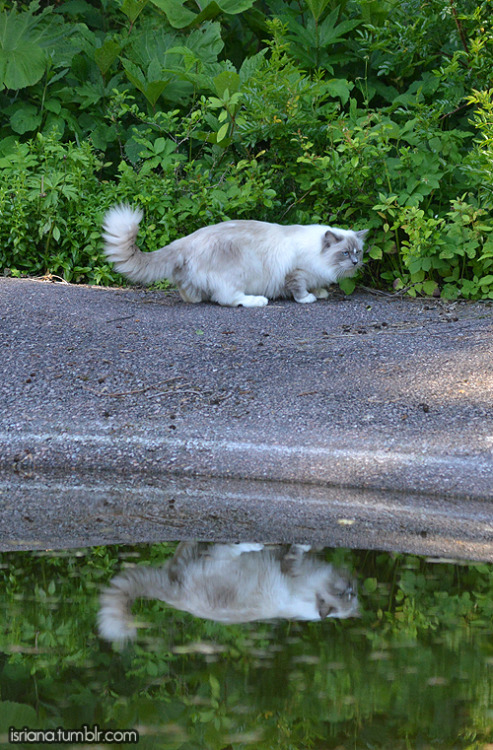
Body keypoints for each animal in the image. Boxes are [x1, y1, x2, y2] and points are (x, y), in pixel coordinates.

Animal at [97, 544, 358, 644]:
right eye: (345, 593)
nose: (354, 590)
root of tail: (173, 594)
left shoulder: (289, 565)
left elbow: (295, 552)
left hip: (218, 565)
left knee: (216, 551)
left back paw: (248, 544)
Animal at [103, 204, 366, 306]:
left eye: (358, 253)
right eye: (345, 253)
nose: (355, 263)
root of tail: (186, 240)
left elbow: (316, 286)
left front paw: (320, 293)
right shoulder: (296, 272)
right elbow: (299, 290)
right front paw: (309, 298)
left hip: (191, 280)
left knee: (190, 294)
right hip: (238, 274)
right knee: (228, 299)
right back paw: (258, 301)